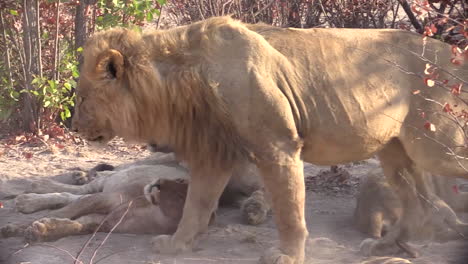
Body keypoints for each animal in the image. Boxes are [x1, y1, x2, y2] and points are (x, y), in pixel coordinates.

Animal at [72, 17, 468, 264]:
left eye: (83, 96)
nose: (74, 127)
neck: (178, 81)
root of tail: (455, 56)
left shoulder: (278, 146)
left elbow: (289, 210)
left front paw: (288, 255)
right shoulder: (214, 153)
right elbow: (195, 206)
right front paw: (176, 245)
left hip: (438, 148)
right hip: (394, 150)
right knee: (418, 205)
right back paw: (383, 245)